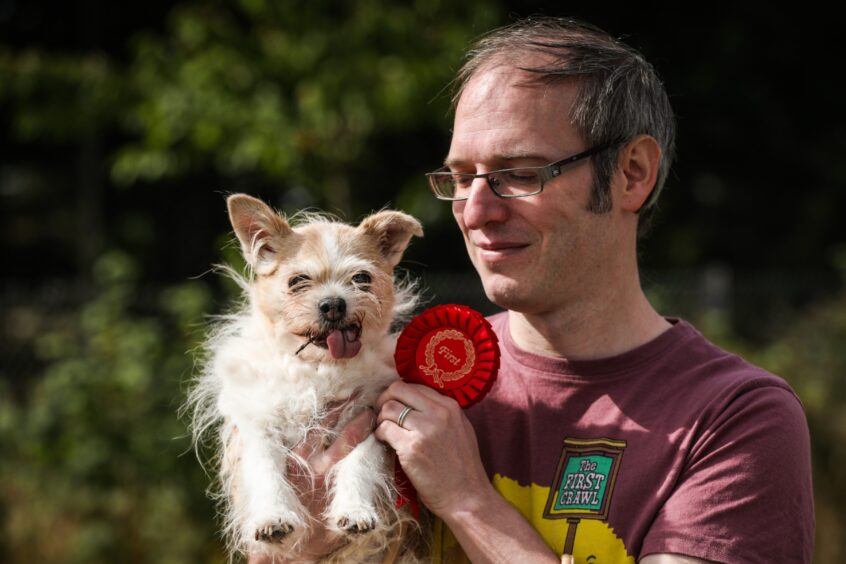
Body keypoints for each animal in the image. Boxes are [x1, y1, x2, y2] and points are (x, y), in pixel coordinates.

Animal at [186, 193, 424, 560]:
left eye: (361, 278)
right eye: (297, 281)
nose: (333, 304)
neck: (318, 367)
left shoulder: (368, 422)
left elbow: (359, 464)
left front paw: (354, 511)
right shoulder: (258, 428)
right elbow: (266, 472)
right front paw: (273, 517)